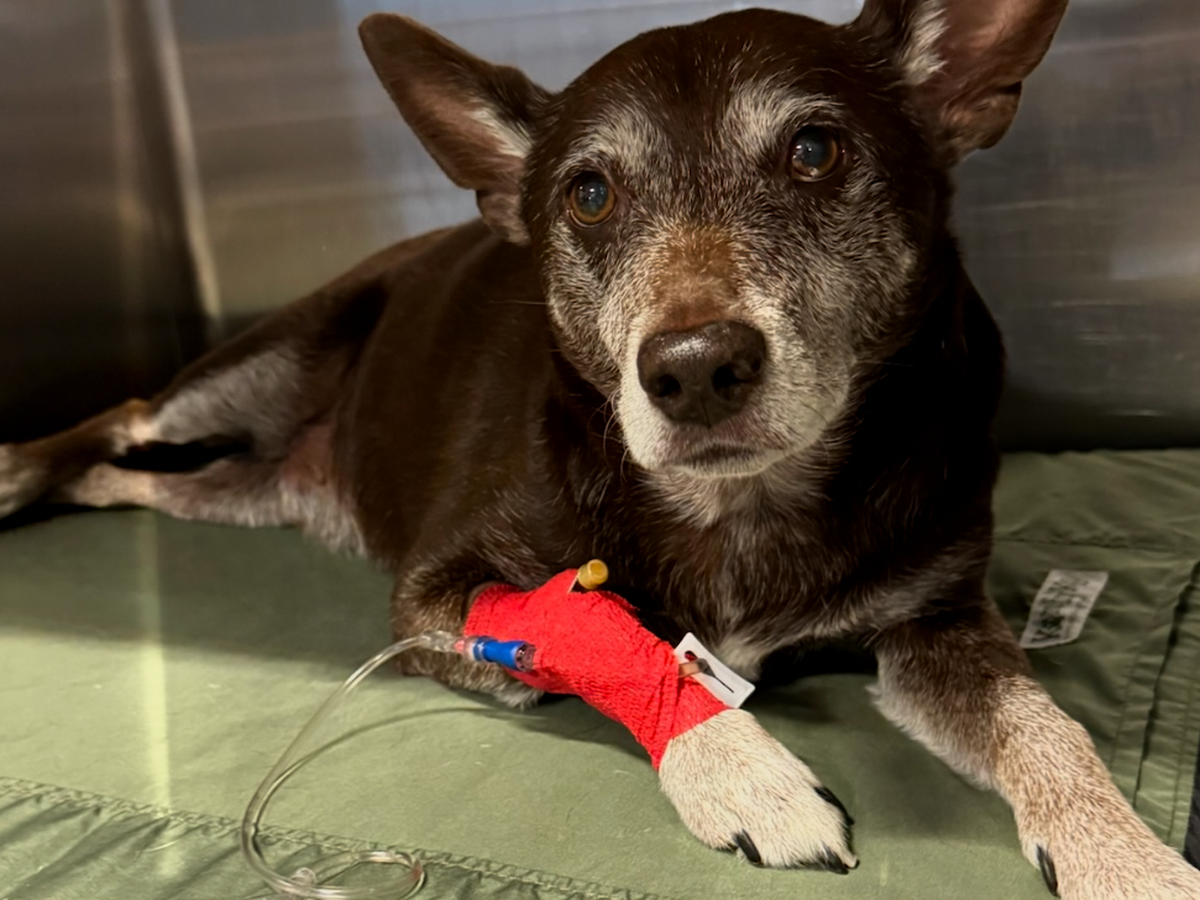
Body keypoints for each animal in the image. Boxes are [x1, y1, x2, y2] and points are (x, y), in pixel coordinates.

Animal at [2, 2, 1198, 896]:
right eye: (589, 193)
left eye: (816, 151)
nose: (695, 368)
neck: (743, 508)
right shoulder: (435, 593)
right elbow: (606, 633)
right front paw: (737, 768)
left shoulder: (937, 621)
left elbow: (1044, 724)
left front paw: (1124, 854)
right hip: (255, 371)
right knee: (122, 416)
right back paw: (17, 467)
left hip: (237, 491)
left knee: (122, 480)